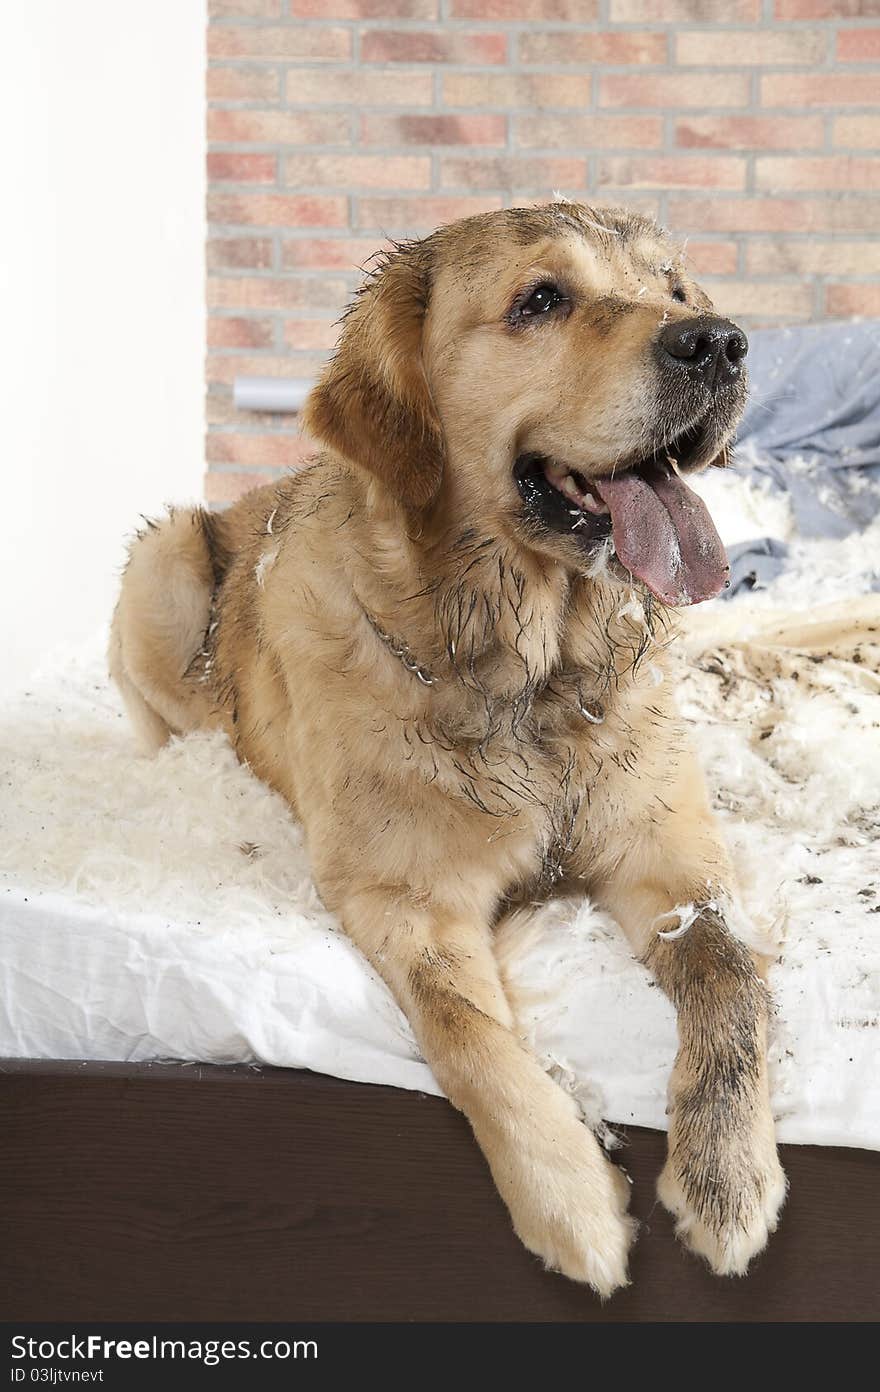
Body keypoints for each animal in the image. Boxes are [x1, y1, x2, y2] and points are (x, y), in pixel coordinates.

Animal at [110, 201, 785, 1297]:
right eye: (541, 300)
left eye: (675, 290)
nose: (720, 341)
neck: (529, 677)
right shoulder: (406, 897)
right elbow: (468, 1033)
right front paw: (571, 1194)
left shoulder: (669, 851)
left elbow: (731, 975)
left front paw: (727, 1174)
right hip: (163, 558)